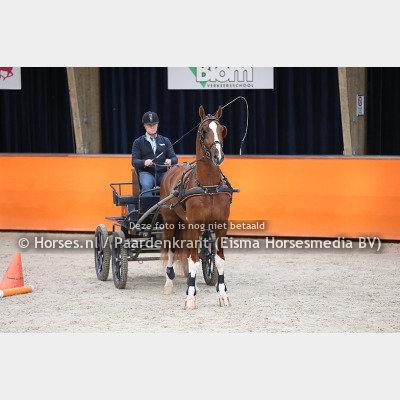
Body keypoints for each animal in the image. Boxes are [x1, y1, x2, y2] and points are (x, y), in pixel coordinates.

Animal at [159, 105, 232, 309]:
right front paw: (189, 298)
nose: (218, 155)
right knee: (171, 250)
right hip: (170, 221)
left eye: (221, 129)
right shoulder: (194, 224)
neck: (208, 186)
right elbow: (193, 261)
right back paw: (169, 284)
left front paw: (222, 295)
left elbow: (218, 260)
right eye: (204, 130)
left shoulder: (220, 225)